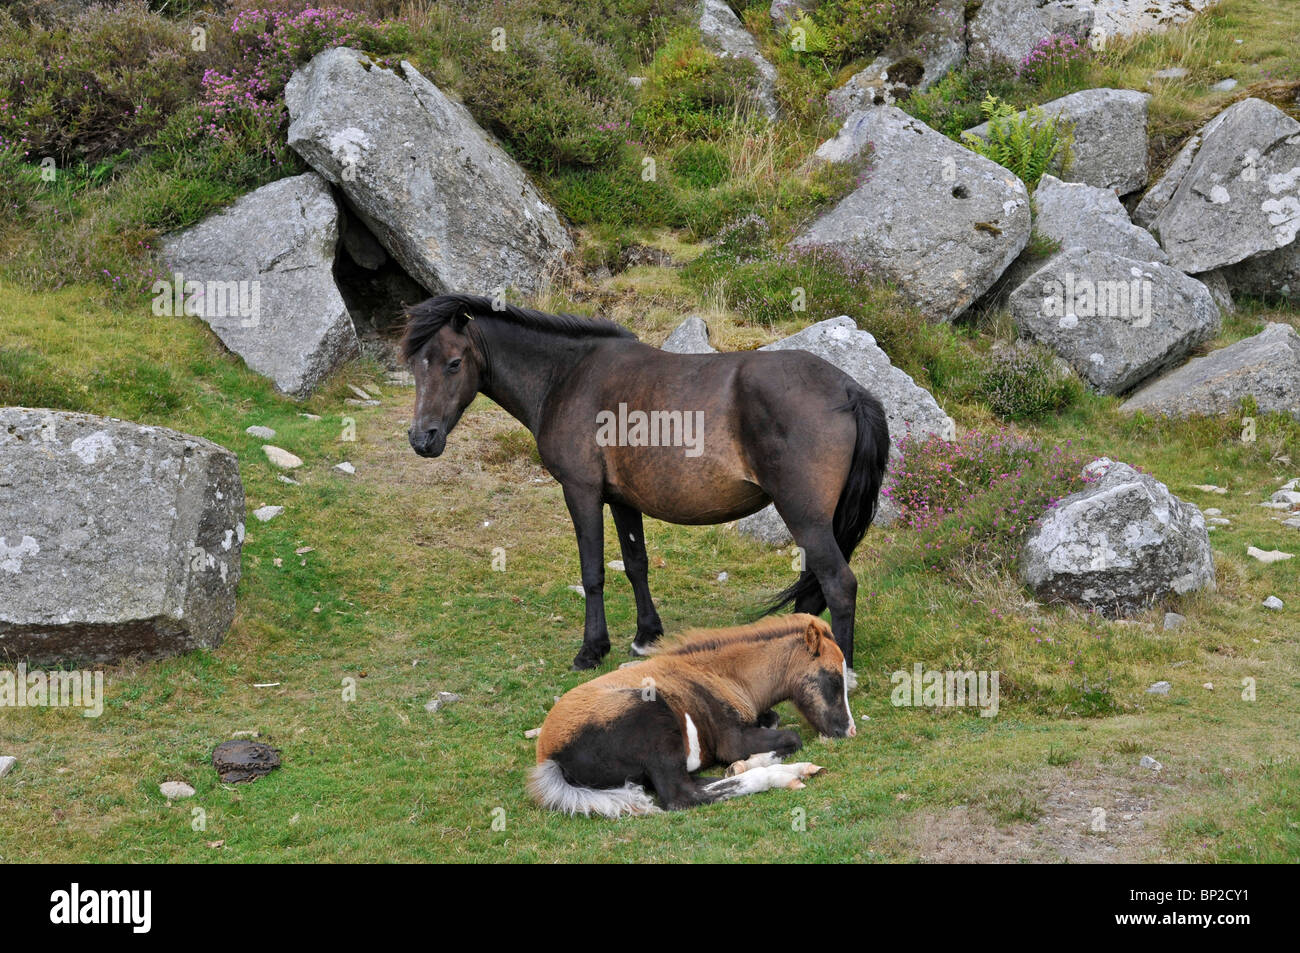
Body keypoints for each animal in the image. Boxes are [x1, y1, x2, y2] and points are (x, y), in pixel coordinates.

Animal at [402, 293, 889, 671]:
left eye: (453, 363)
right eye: (416, 366)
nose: (422, 438)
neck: (567, 375)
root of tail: (848, 390)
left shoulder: (581, 492)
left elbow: (593, 572)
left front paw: (591, 649)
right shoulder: (622, 500)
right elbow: (636, 563)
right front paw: (645, 636)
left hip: (804, 516)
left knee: (839, 585)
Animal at [528, 614, 855, 816]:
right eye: (832, 678)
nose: (849, 730)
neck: (721, 674)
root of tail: (549, 755)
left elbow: (773, 723)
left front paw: (740, 765)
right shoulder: (733, 740)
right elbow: (791, 737)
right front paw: (744, 763)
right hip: (656, 722)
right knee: (682, 796)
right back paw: (783, 776)